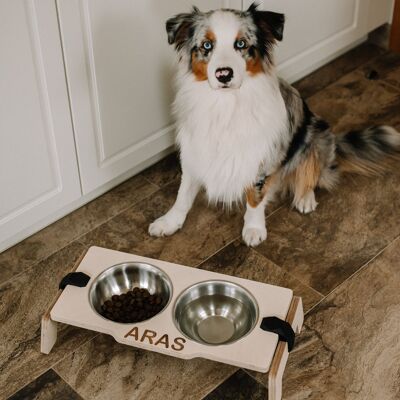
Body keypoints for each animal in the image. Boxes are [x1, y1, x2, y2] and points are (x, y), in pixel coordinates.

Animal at [148, 3, 400, 247]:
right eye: (207, 45)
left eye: (241, 43)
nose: (224, 74)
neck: (227, 104)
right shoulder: (194, 151)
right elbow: (183, 193)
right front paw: (169, 222)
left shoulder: (261, 158)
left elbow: (255, 197)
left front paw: (254, 229)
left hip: (315, 134)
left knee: (313, 172)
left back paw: (305, 197)